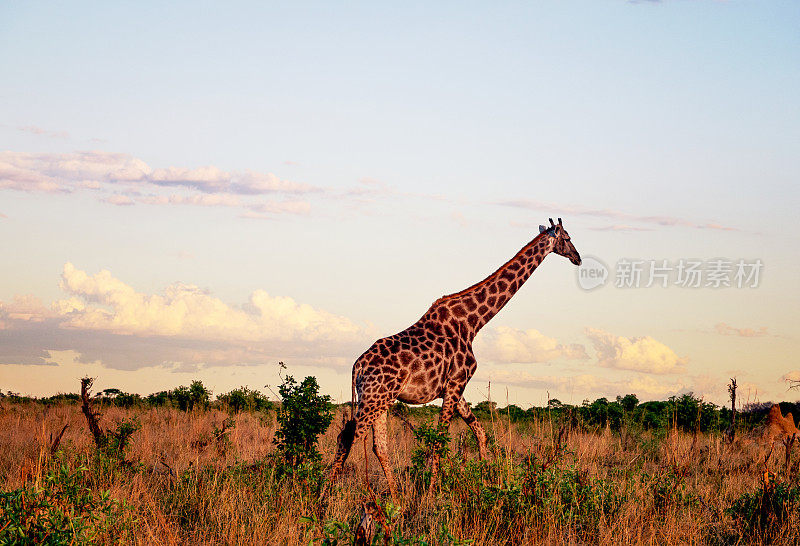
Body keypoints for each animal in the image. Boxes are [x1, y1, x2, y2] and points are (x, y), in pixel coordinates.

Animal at [324, 217, 580, 498]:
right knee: (348, 437)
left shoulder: (455, 387)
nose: (578, 258)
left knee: (378, 445)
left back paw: (394, 496)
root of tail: (357, 366)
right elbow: (440, 438)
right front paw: (431, 492)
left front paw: (487, 480)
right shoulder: (456, 383)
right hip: (374, 397)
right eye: (568, 238)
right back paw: (330, 497)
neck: (472, 323)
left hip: (380, 400)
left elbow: (479, 432)